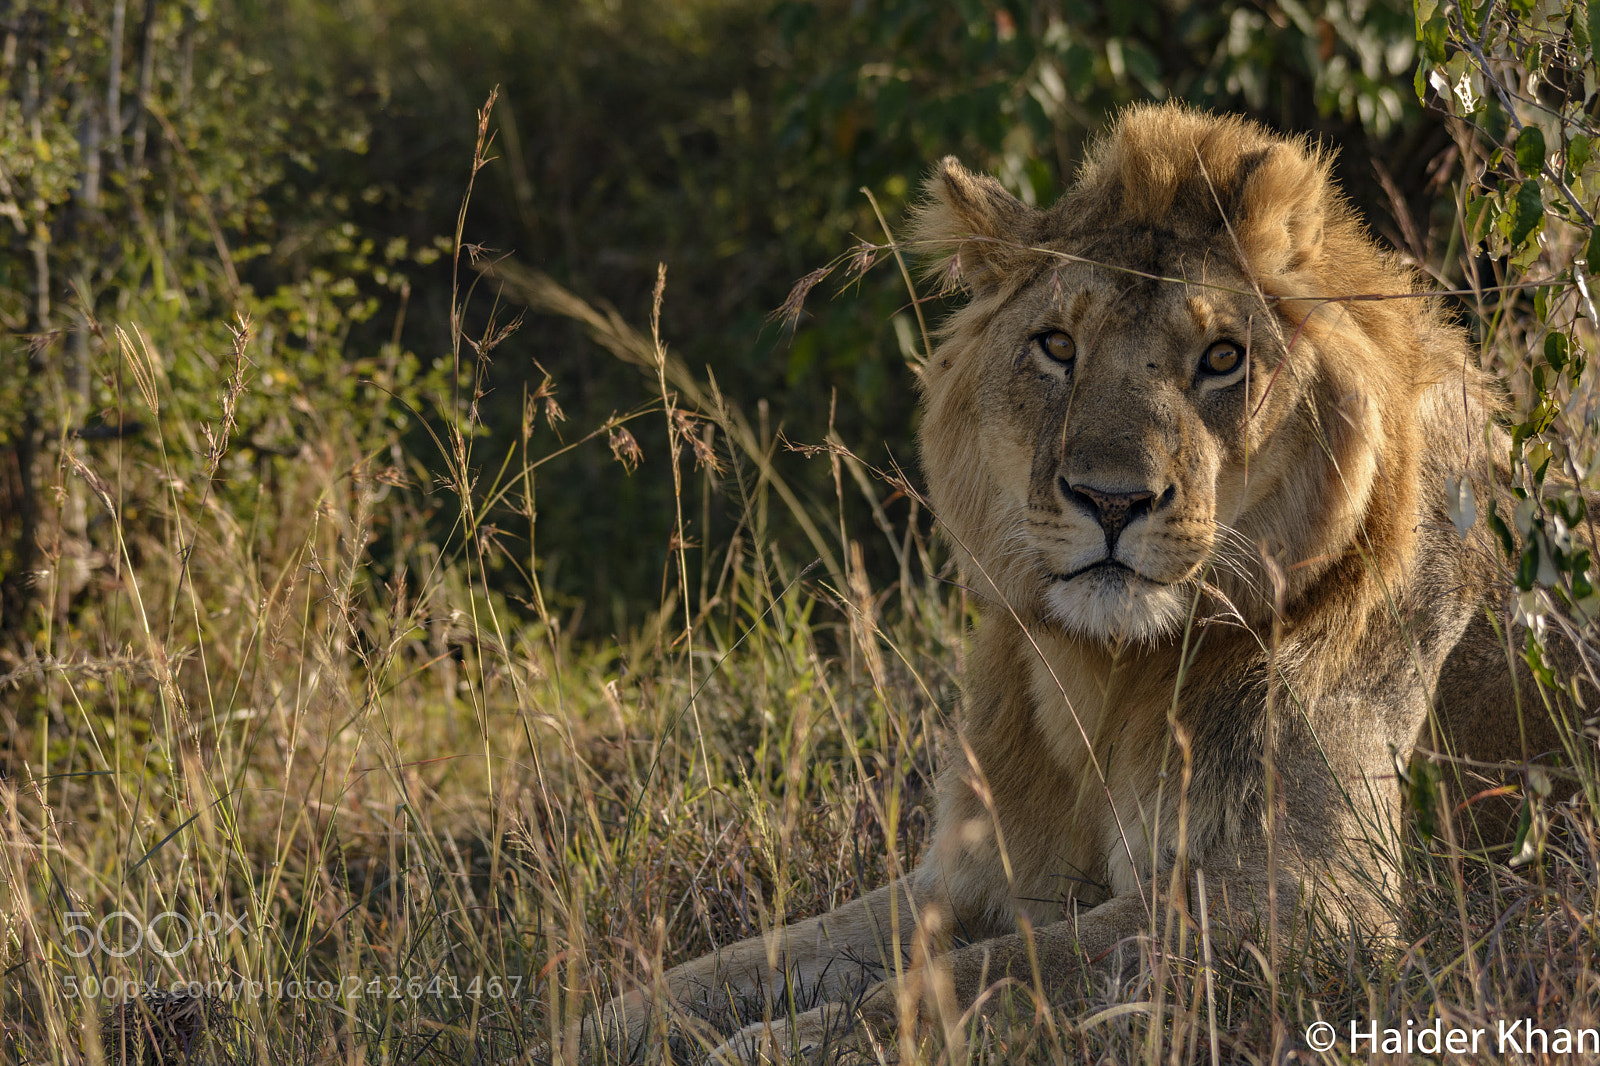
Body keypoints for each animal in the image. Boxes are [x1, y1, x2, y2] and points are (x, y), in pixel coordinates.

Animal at [586, 103, 1581, 1063]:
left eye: (1223, 358)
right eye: (1057, 346)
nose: (1112, 499)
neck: (1105, 678)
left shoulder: (1310, 893)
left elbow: (990, 973)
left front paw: (782, 1043)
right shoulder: (969, 870)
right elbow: (747, 960)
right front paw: (594, 1025)